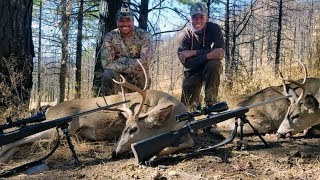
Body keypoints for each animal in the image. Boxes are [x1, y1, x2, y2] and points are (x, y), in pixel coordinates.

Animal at [0, 60, 192, 163]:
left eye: (133, 129)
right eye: (125, 128)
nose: (114, 152)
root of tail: (49, 110)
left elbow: (186, 142)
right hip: (59, 128)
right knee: (19, 138)